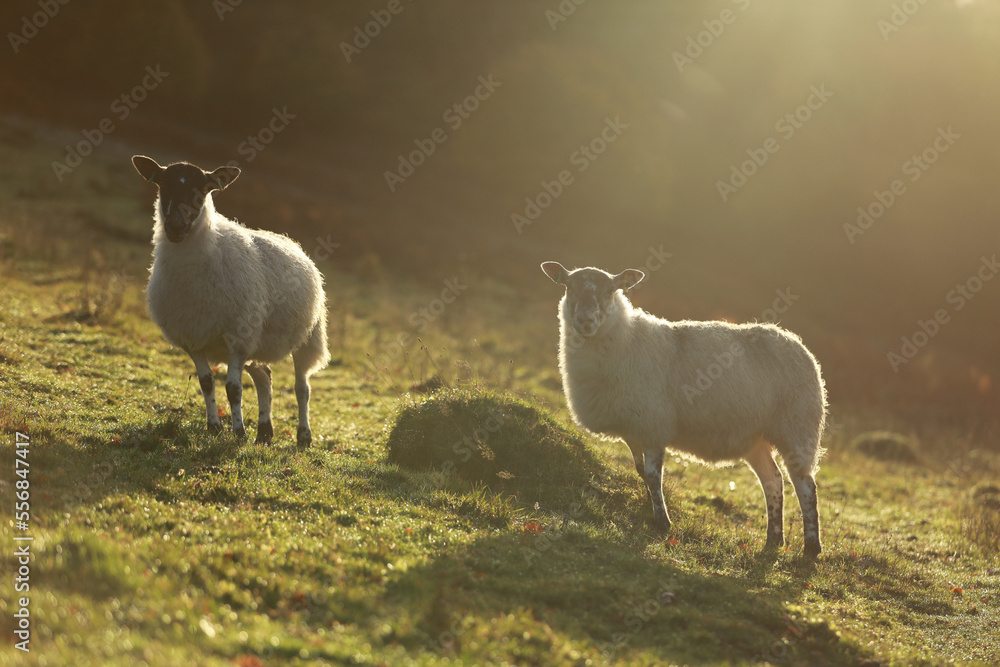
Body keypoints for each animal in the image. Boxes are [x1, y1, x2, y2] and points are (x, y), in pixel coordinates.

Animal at [132, 155, 330, 446]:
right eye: (162, 185)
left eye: (203, 190)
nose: (176, 227)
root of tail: (292, 243)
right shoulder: (193, 337)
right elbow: (207, 384)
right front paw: (214, 427)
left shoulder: (237, 337)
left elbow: (233, 389)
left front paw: (238, 433)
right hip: (258, 341)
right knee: (264, 378)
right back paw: (264, 433)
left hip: (308, 336)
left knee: (301, 387)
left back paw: (303, 436)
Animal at [541, 261, 827, 556]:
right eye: (569, 287)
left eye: (611, 290)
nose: (586, 321)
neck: (628, 339)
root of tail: (797, 343)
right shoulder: (633, 430)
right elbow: (641, 472)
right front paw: (651, 510)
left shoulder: (653, 426)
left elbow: (653, 476)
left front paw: (662, 522)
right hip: (755, 439)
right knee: (773, 480)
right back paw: (773, 541)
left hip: (797, 427)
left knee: (806, 485)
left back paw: (811, 547)